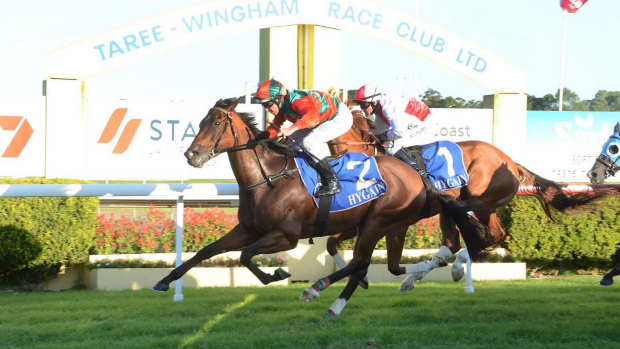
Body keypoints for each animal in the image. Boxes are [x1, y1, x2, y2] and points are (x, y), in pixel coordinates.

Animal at [151, 98, 484, 316]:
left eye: (218, 122)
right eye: (201, 122)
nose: (192, 155)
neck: (268, 178)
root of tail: (415, 173)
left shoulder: (285, 236)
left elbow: (246, 256)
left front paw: (277, 274)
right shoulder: (248, 229)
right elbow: (206, 251)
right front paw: (164, 281)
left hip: (379, 221)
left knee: (363, 262)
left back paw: (324, 291)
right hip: (376, 224)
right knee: (369, 263)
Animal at [324, 110, 616, 290]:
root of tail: (511, 161)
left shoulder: (391, 221)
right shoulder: (358, 220)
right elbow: (331, 243)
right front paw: (356, 278)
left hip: (479, 203)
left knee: (487, 237)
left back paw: (452, 268)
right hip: (464, 207)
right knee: (459, 242)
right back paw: (427, 275)